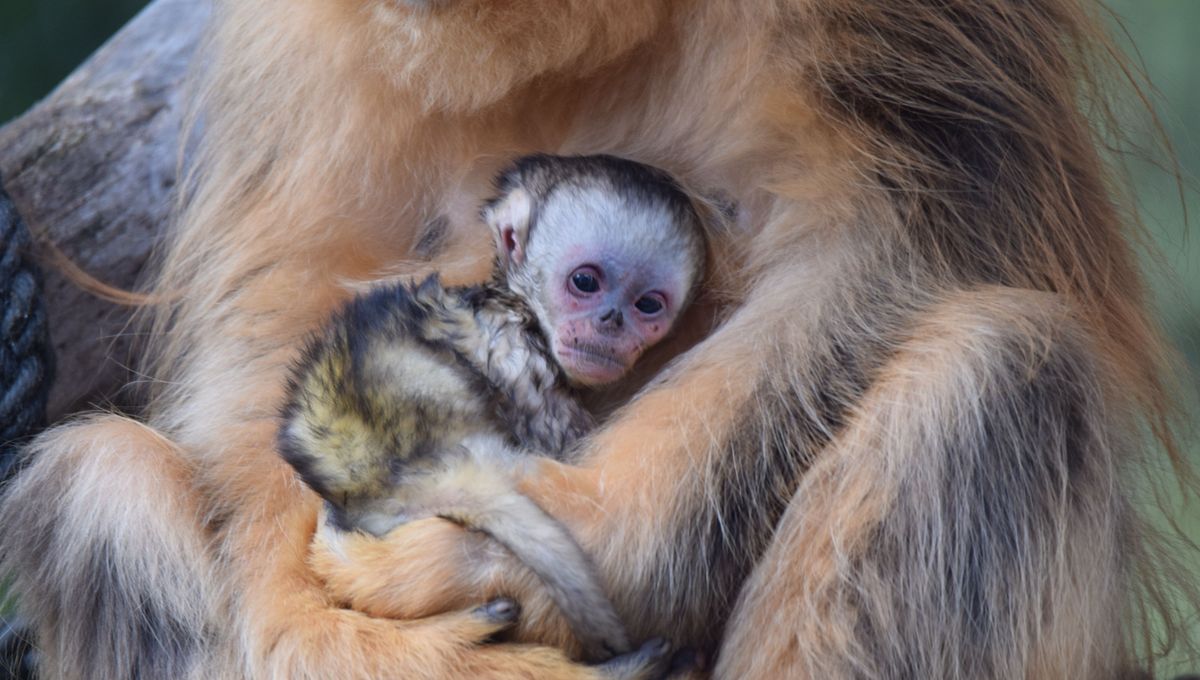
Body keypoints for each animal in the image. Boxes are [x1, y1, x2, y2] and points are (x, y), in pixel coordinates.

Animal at [276, 154, 707, 661]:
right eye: (585, 281)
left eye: (648, 304)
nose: (612, 321)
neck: (515, 301)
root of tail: (406, 471)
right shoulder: (514, 347)